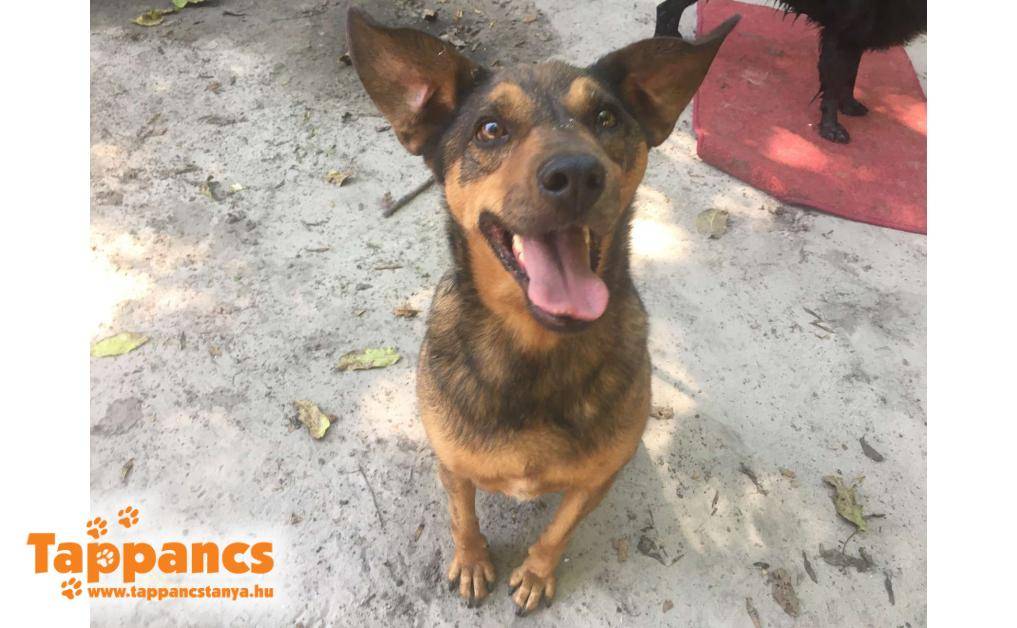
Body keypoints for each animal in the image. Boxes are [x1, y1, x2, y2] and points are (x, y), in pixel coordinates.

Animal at [346, 6, 737, 614]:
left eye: (605, 118)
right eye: (490, 129)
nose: (576, 174)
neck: (535, 348)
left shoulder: (593, 482)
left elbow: (558, 532)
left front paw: (534, 573)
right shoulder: (452, 466)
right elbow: (462, 519)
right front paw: (473, 562)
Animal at [656, 0, 927, 143]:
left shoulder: (856, 36)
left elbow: (850, 77)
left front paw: (849, 105)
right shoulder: (839, 35)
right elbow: (833, 85)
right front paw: (831, 128)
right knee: (666, 8)